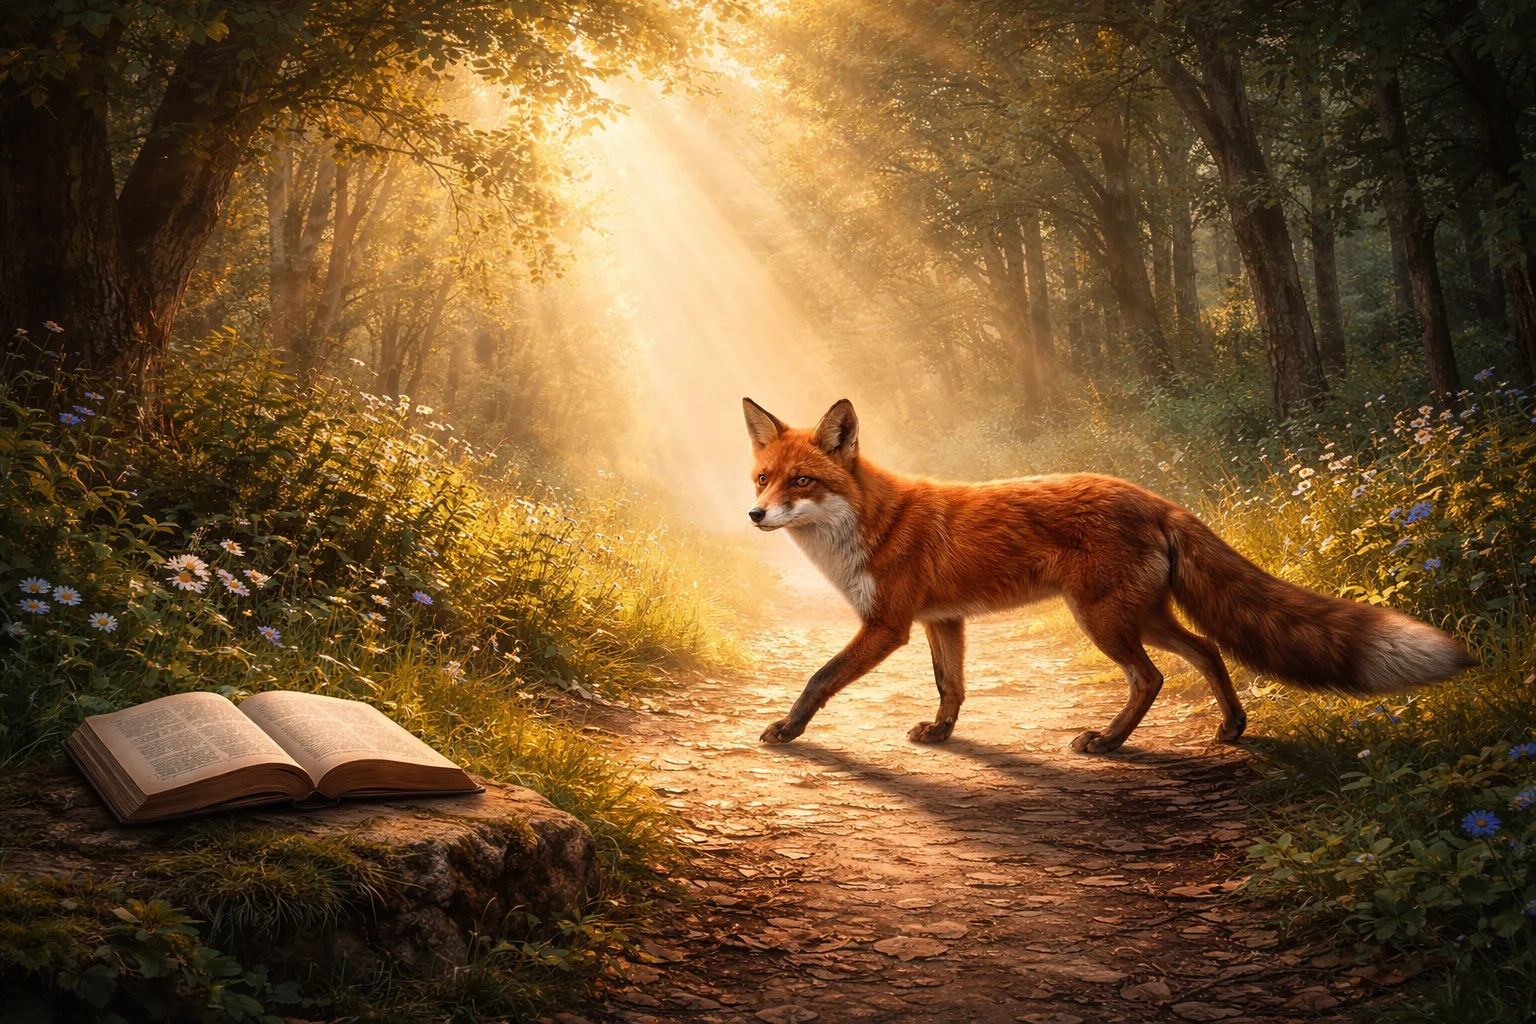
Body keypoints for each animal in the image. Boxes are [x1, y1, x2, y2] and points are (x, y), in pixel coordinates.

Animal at [743, 397, 1476, 753]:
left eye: (801, 481)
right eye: (761, 478)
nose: (753, 515)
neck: (870, 524)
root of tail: (1155, 497)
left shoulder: (887, 624)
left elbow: (819, 678)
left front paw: (789, 731)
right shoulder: (942, 621)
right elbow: (951, 688)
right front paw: (944, 735)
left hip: (1101, 620)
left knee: (1151, 677)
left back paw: (1111, 742)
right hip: (1140, 615)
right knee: (1206, 650)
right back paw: (1231, 729)